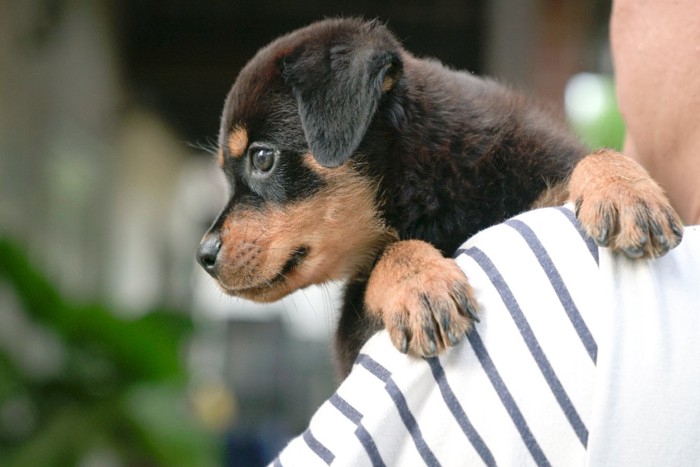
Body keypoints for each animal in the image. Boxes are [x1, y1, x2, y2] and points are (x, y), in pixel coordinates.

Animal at [198, 18, 684, 378]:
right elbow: (385, 258)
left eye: (262, 158)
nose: (203, 255)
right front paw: (419, 284)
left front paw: (625, 190)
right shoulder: (351, 339)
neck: (433, 186)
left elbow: (588, 159)